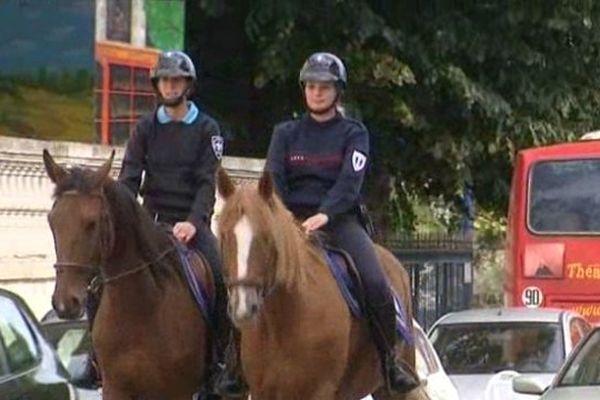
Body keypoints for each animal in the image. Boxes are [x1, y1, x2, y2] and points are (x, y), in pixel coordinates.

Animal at [44, 151, 218, 400]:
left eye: (92, 223)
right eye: (52, 221)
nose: (64, 303)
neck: (141, 309)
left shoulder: (177, 391)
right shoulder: (115, 388)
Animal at [216, 169, 426, 400]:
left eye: (266, 237)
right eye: (224, 236)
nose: (243, 307)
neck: (285, 319)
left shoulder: (320, 390)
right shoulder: (262, 392)